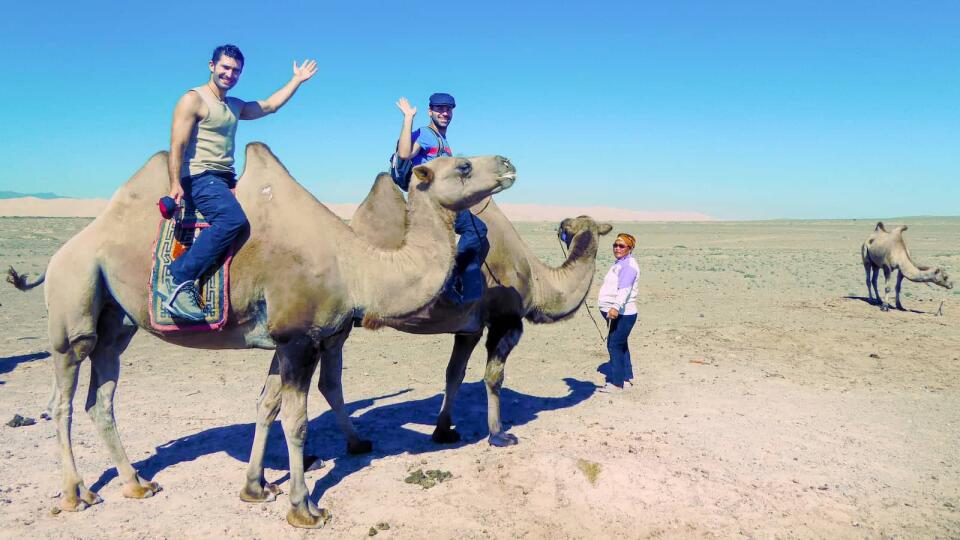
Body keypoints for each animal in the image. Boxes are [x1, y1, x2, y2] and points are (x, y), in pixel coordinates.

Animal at [7, 143, 516, 528]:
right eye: (463, 165)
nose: (509, 163)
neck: (358, 268)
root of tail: (62, 253)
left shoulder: (290, 340)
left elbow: (266, 405)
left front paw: (255, 488)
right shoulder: (299, 339)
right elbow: (296, 421)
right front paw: (304, 508)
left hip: (118, 324)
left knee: (102, 398)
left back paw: (136, 484)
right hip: (73, 305)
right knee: (62, 398)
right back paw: (75, 495)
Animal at [334, 175, 612, 446]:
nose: (563, 223)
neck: (537, 281)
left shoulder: (469, 330)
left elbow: (454, 375)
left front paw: (443, 431)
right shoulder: (505, 321)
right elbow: (493, 377)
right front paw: (498, 434)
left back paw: (355, 443)